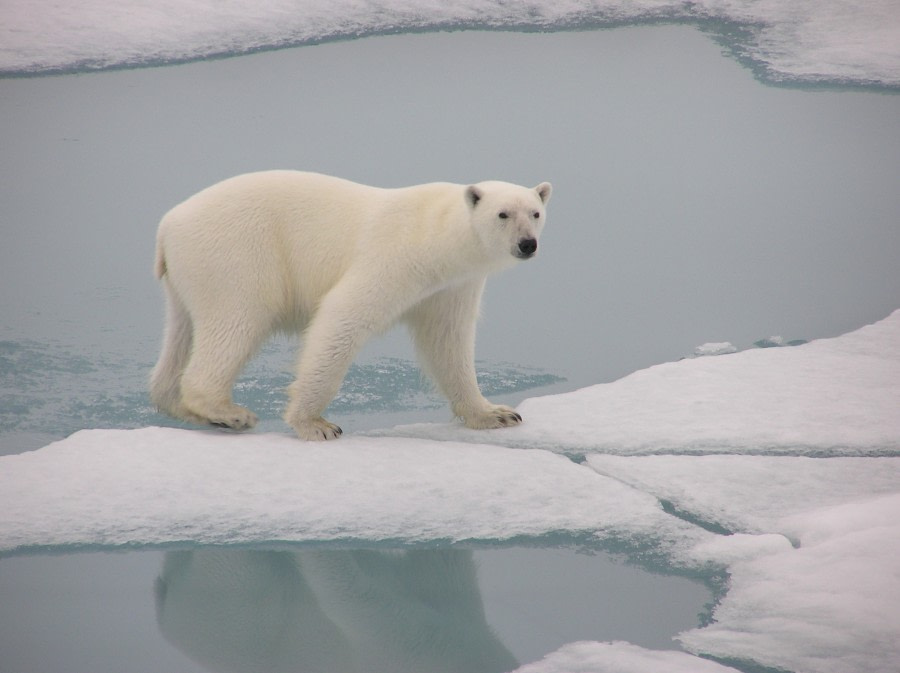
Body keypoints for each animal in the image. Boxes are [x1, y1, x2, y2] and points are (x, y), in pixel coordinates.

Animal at [149, 171, 548, 438]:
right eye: (502, 214)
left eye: (535, 212)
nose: (527, 244)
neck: (438, 234)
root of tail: (167, 225)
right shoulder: (396, 256)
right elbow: (343, 316)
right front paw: (315, 423)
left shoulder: (452, 285)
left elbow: (447, 341)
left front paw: (496, 413)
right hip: (234, 254)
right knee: (237, 319)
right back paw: (230, 413)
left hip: (186, 278)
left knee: (182, 332)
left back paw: (181, 404)